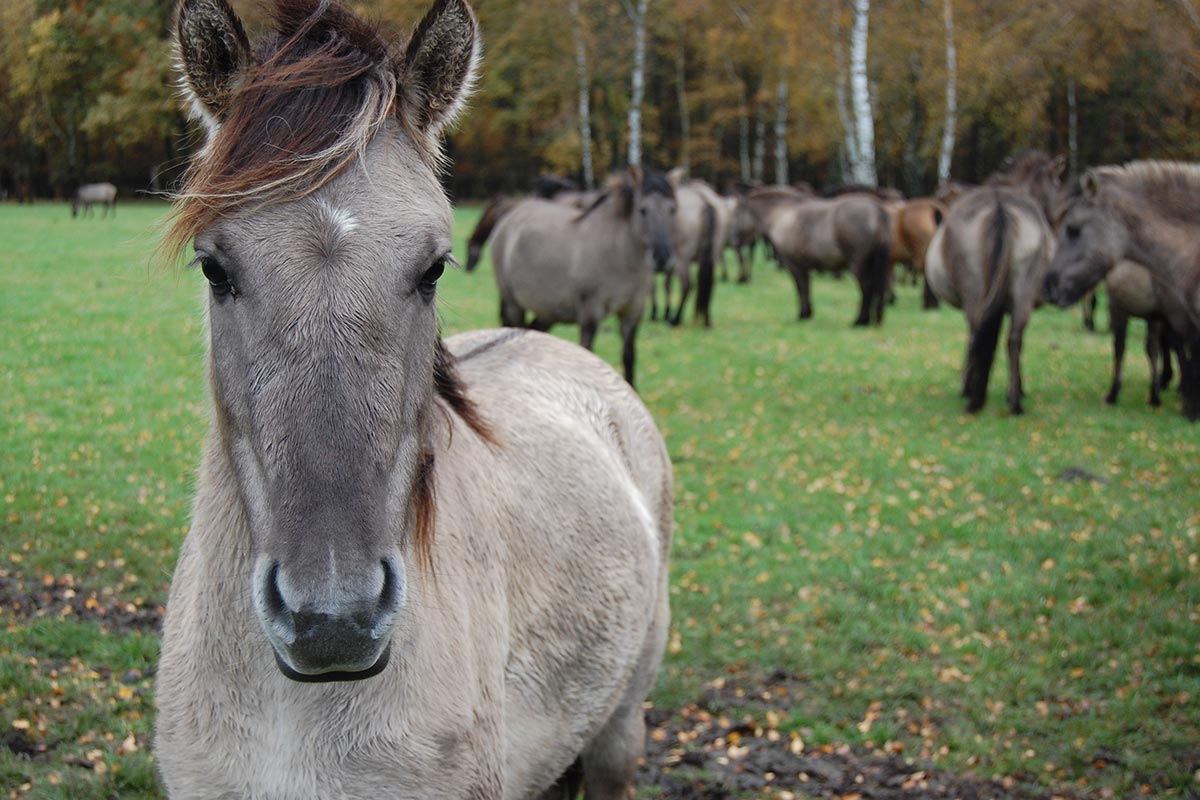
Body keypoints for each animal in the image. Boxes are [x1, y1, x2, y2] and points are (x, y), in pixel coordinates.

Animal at [487, 167, 676, 386]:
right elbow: (588, 353)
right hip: (513, 304)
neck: (618, 254)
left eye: (673, 210)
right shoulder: (590, 313)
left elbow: (629, 357)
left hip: (547, 312)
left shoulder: (632, 313)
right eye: (643, 210)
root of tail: (508, 220)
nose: (661, 258)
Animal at [739, 184, 892, 326]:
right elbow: (807, 288)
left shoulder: (794, 265)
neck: (784, 214)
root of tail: (876, 209)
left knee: (866, 287)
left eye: (737, 213)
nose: (737, 241)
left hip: (858, 265)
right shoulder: (804, 266)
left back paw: (860, 321)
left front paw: (802, 315)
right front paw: (808, 313)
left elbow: (800, 288)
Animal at [921, 149, 1065, 417]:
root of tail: (1000, 207)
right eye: (1058, 184)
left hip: (976, 294)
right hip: (1021, 293)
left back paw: (976, 396)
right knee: (1014, 339)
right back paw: (1014, 400)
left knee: (979, 334)